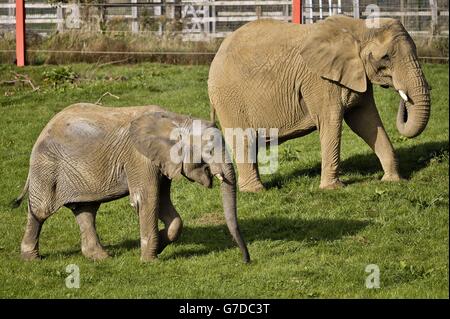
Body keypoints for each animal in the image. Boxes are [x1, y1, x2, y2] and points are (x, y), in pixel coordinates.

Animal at [13, 104, 250, 264]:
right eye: (209, 151)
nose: (246, 260)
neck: (177, 120)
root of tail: (43, 129)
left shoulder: (160, 161)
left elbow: (164, 205)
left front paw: (159, 245)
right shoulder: (140, 159)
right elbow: (147, 199)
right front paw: (150, 260)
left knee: (86, 210)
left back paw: (101, 257)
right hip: (47, 167)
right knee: (41, 211)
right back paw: (31, 259)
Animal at [208, 15, 432, 192]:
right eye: (385, 57)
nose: (404, 98)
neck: (358, 28)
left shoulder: (357, 75)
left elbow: (366, 121)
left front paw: (393, 181)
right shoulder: (319, 80)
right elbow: (331, 121)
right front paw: (333, 188)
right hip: (228, 97)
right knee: (242, 138)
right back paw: (255, 191)